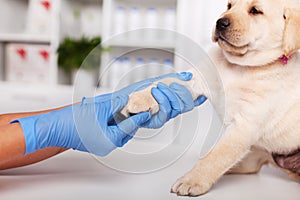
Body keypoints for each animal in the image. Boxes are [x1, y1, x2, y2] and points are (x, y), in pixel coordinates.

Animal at [120, 0, 300, 197]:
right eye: (229, 6)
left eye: (255, 11)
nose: (220, 22)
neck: (240, 67)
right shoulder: (196, 77)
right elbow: (164, 84)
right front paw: (139, 98)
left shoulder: (245, 126)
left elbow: (216, 157)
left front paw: (192, 180)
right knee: (249, 165)